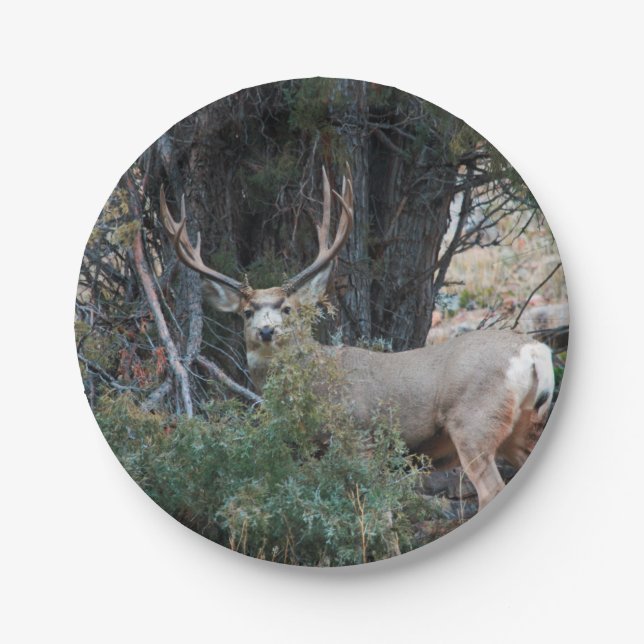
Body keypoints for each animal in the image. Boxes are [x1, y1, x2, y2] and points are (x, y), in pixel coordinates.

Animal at [159, 167, 555, 511]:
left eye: (287, 309)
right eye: (246, 311)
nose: (267, 331)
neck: (316, 383)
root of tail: (534, 351)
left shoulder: (360, 435)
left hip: (474, 422)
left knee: (489, 489)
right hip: (522, 427)